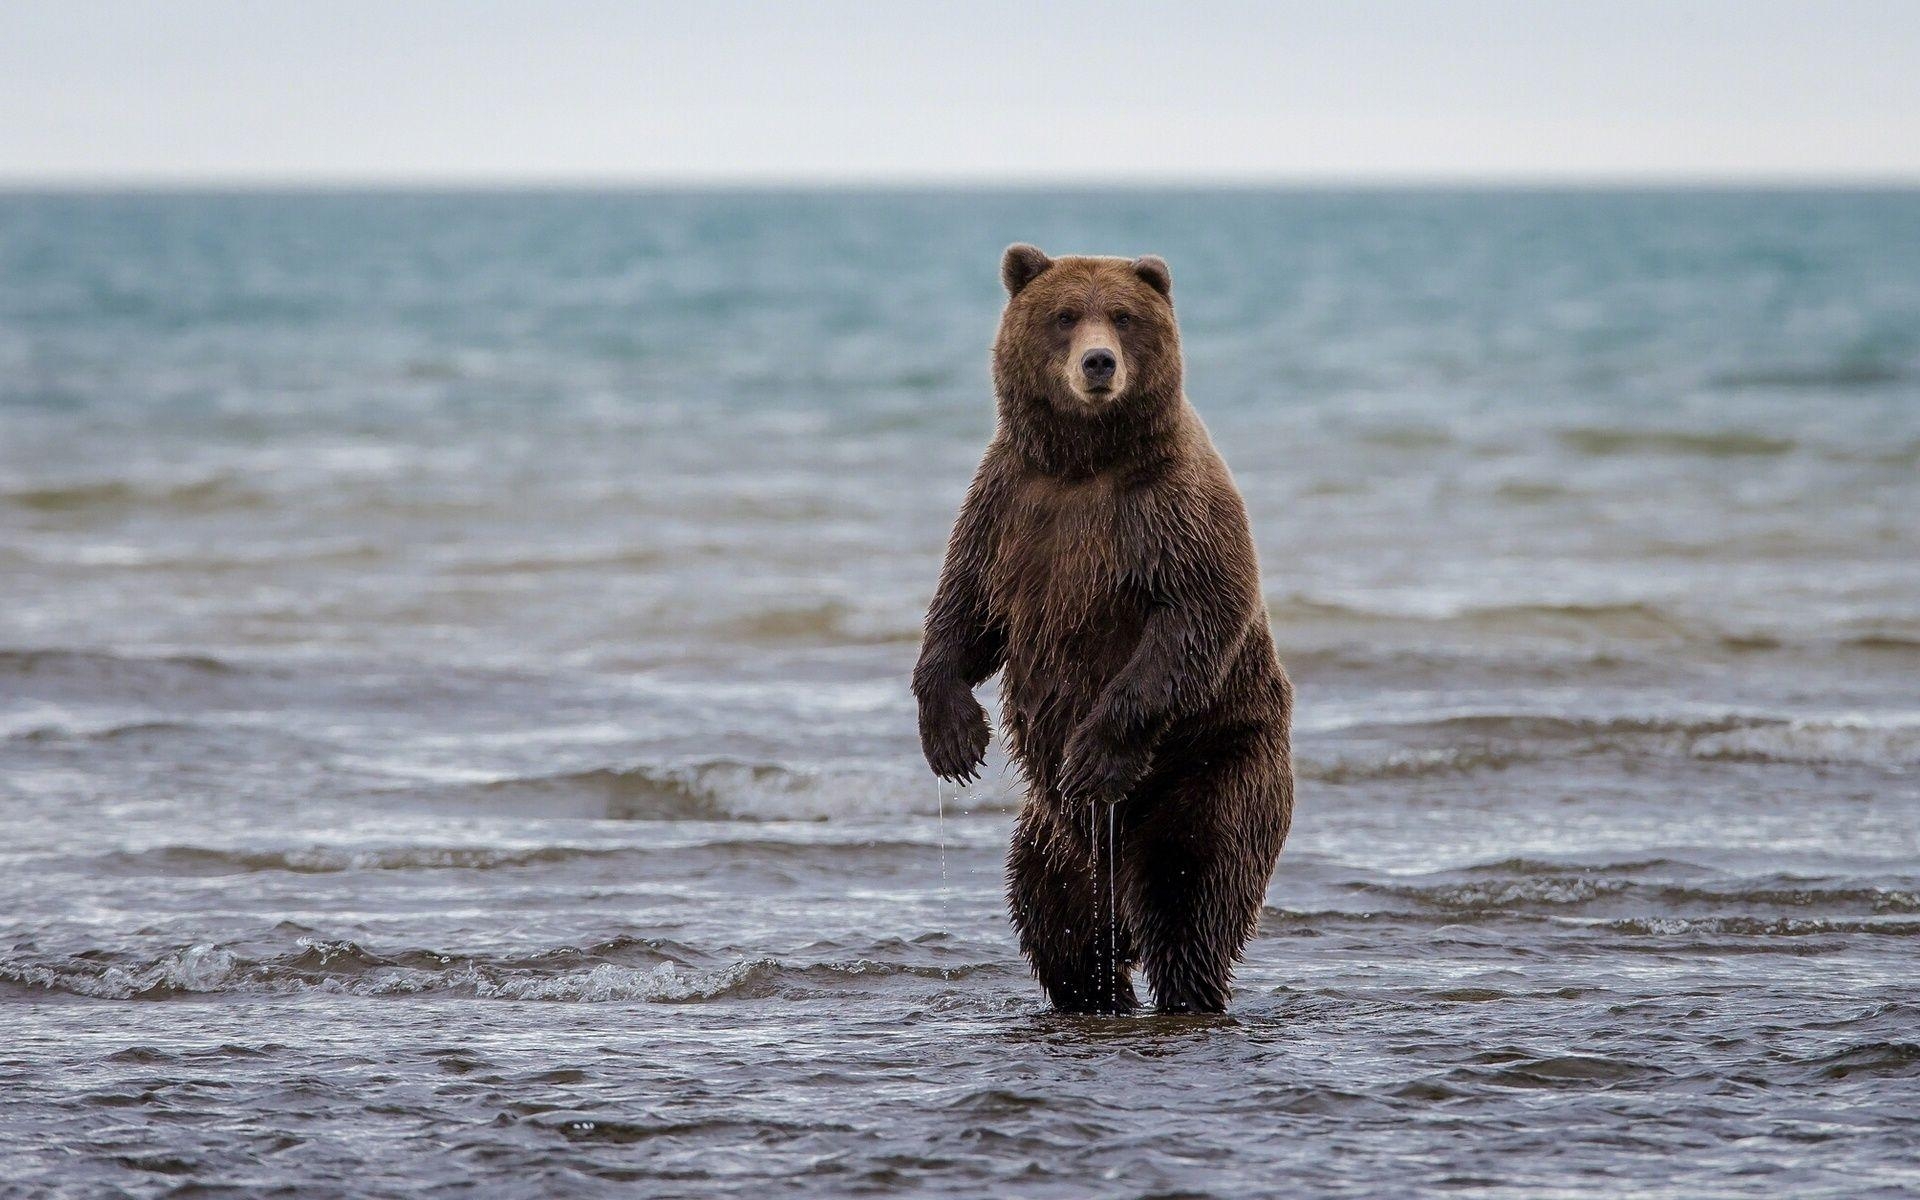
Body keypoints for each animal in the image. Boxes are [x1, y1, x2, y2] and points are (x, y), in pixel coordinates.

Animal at [910, 243, 1290, 1013]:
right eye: (1063, 315)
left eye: (1121, 315)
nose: (1098, 363)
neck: (1084, 463)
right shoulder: (1008, 505)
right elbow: (964, 611)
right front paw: (954, 737)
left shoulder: (1171, 512)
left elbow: (1195, 617)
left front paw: (1092, 754)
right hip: (1050, 841)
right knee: (1055, 924)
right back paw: (1097, 987)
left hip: (1216, 766)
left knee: (1192, 895)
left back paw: (1185, 983)